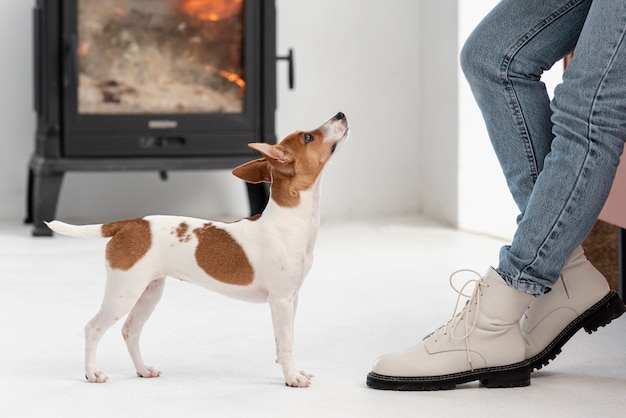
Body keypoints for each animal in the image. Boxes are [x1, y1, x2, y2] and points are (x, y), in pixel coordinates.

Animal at [46, 112, 348, 388]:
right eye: (308, 137)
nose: (340, 114)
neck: (290, 219)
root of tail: (129, 223)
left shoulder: (292, 299)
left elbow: (284, 341)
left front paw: (291, 370)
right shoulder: (282, 301)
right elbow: (286, 343)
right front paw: (292, 377)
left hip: (148, 292)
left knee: (130, 331)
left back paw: (143, 370)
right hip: (124, 292)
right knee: (93, 328)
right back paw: (92, 373)